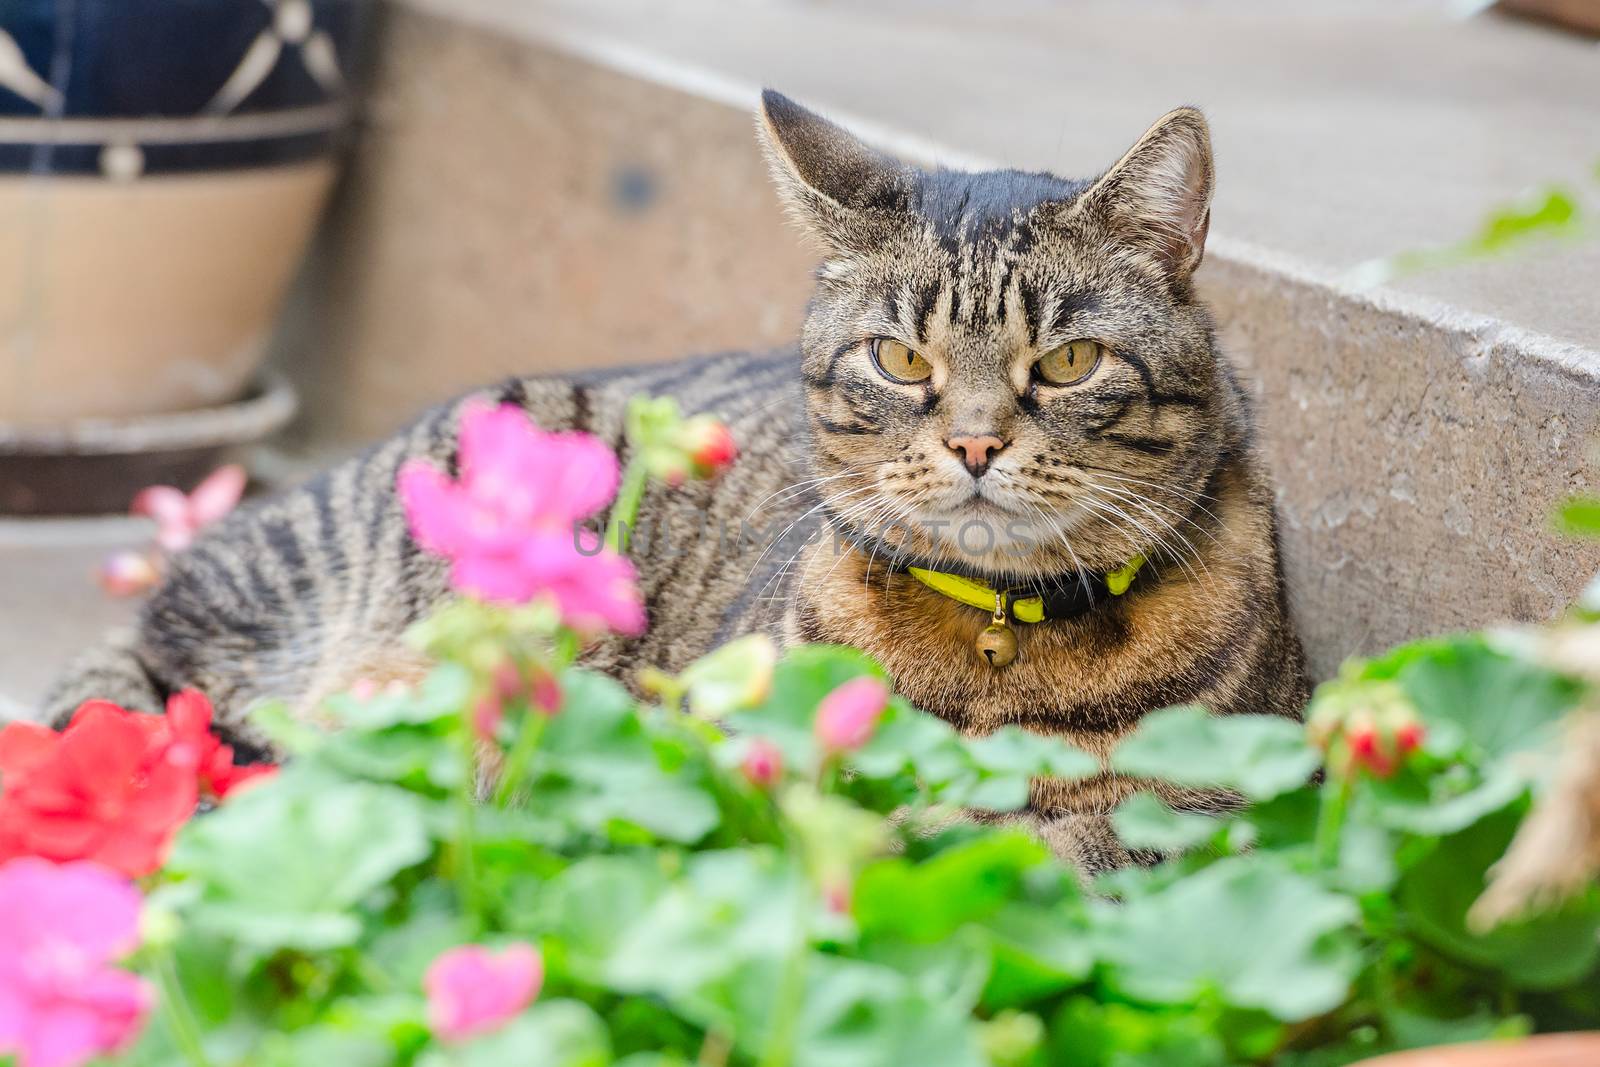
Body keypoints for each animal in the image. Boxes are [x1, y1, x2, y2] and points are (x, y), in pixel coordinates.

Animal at [43, 93, 1305, 876]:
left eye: (1069, 361)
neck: (993, 645)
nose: (976, 446)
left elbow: (1053, 846)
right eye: (901, 361)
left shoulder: (1216, 807)